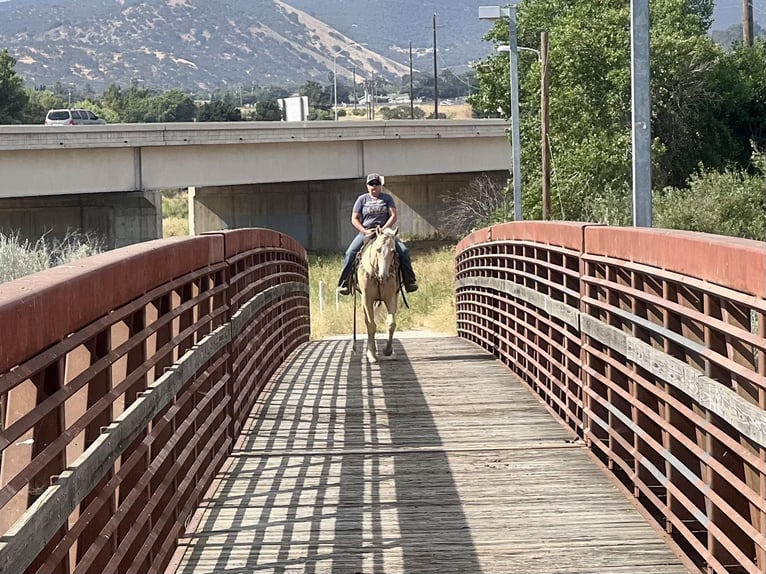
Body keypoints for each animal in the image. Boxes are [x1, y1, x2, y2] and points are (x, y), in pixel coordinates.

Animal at [354, 226, 402, 364]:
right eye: (378, 249)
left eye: (393, 251)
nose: (383, 276)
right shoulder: (367, 299)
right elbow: (371, 325)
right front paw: (371, 354)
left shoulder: (391, 297)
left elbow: (391, 324)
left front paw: (388, 350)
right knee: (369, 321)